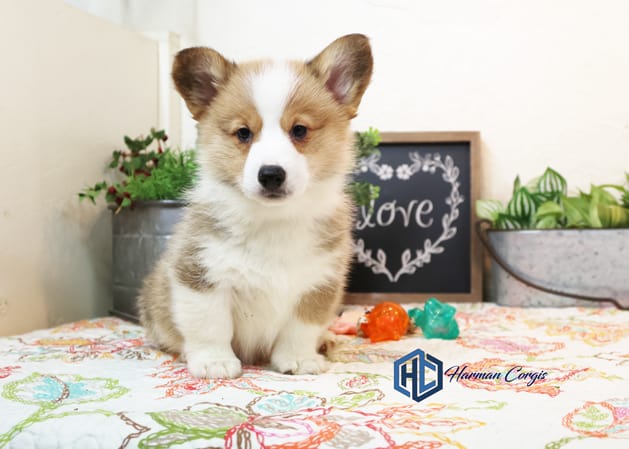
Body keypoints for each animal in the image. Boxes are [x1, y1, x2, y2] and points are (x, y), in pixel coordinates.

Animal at [137, 34, 370, 378]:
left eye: (299, 130)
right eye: (243, 133)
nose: (271, 174)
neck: (274, 221)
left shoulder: (318, 283)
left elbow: (300, 328)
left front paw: (299, 359)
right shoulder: (200, 275)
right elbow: (210, 325)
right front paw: (214, 361)